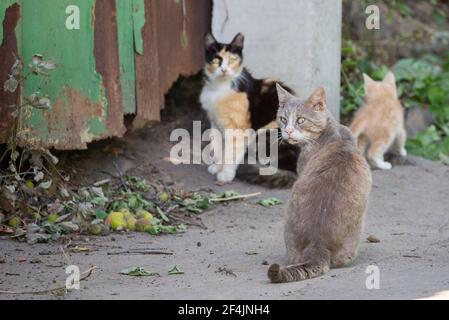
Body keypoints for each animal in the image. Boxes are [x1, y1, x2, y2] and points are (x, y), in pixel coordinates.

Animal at [199, 31, 298, 186]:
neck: (219, 88)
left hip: (266, 134)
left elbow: (231, 153)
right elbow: (219, 147)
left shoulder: (238, 128)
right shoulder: (215, 123)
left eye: (232, 59)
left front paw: (225, 175)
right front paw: (217, 166)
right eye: (216, 60)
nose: (224, 69)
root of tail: (293, 169)